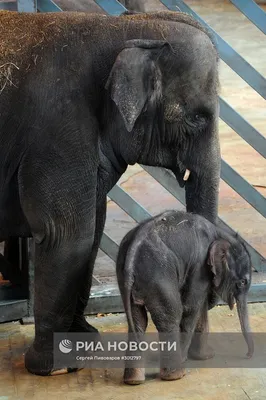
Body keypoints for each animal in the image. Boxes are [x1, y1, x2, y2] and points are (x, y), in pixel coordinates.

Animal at [0, 11, 220, 376]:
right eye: (196, 118)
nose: (200, 357)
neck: (119, 28)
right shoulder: (57, 127)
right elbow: (69, 235)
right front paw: (48, 367)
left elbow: (94, 227)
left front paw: (84, 341)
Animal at [117, 209, 254, 384]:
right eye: (243, 282)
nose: (247, 355)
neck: (220, 233)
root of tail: (133, 249)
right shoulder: (200, 266)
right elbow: (191, 307)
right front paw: (188, 358)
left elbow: (201, 304)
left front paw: (205, 356)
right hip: (159, 276)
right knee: (171, 316)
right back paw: (176, 375)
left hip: (128, 277)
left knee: (137, 320)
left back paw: (134, 381)